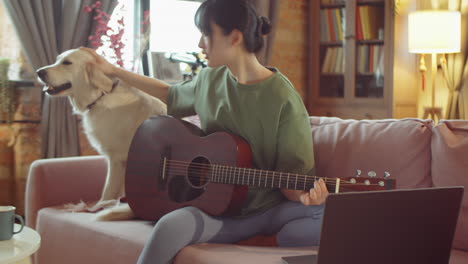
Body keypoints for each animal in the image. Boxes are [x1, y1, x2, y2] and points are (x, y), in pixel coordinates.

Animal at [37, 48, 167, 220]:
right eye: (57, 60)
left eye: (67, 63)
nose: (39, 72)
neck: (101, 95)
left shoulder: (116, 159)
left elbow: (108, 191)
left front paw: (100, 206)